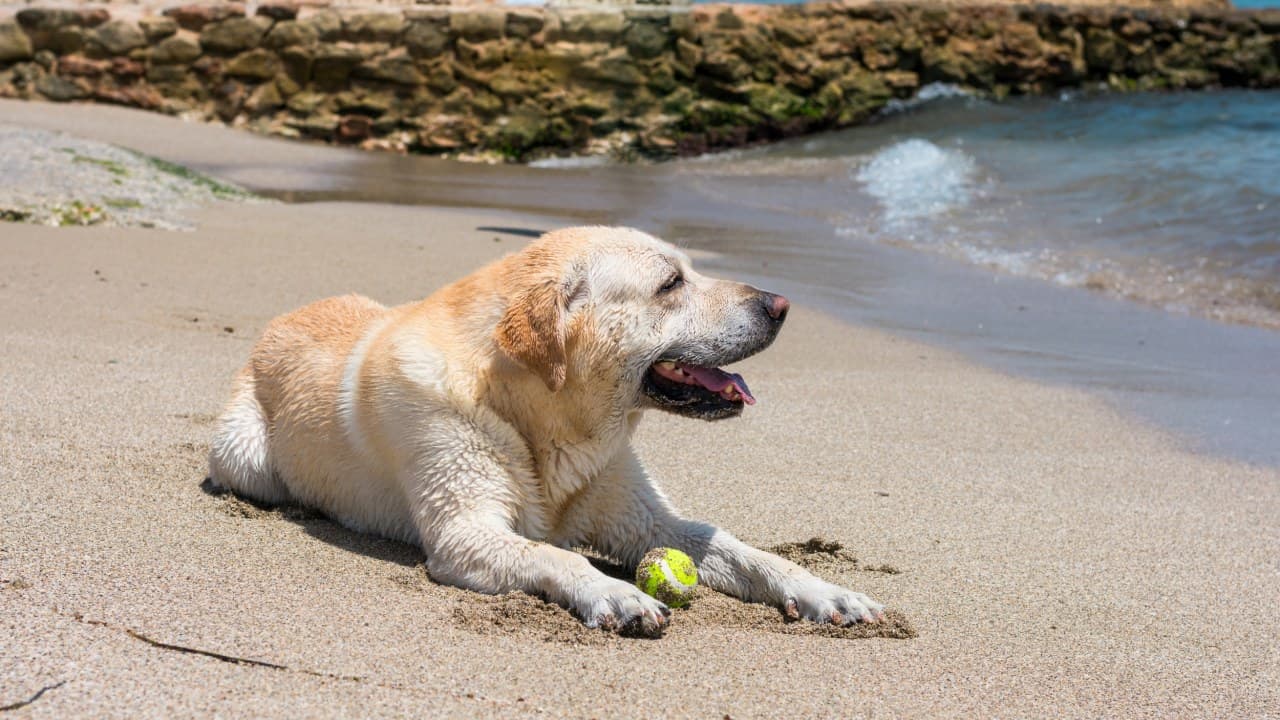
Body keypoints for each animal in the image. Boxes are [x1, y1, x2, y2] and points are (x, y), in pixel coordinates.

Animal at [212, 224, 890, 632]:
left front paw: (827, 591)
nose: (781, 305)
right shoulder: (464, 532)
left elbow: (744, 550)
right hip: (243, 456)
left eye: (693, 271)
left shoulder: (647, 518)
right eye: (671, 284)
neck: (551, 421)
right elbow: (551, 553)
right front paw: (617, 593)